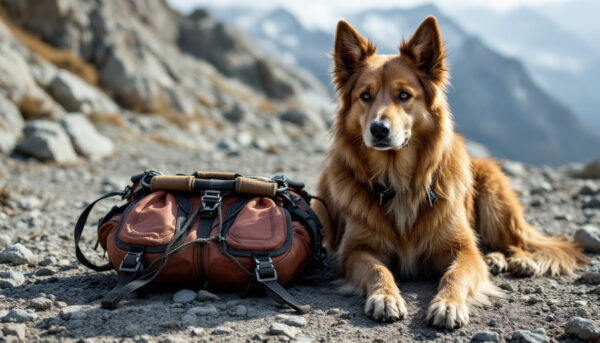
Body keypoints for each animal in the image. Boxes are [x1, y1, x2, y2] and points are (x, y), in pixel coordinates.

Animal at [314, 16, 584, 330]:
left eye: (404, 95)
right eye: (365, 96)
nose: (379, 129)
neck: (399, 180)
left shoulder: (463, 250)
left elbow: (456, 274)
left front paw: (448, 304)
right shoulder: (355, 251)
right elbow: (378, 270)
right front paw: (386, 297)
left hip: (493, 194)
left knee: (514, 242)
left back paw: (518, 260)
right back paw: (495, 259)